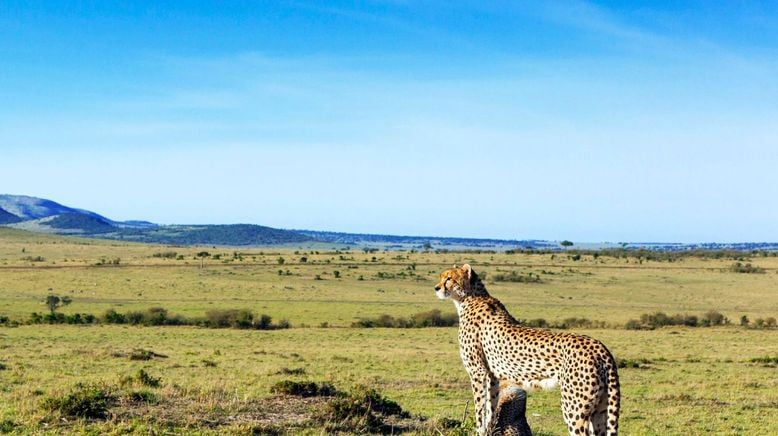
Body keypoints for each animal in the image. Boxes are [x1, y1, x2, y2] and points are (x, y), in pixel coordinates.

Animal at [434, 264, 620, 434]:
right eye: (441, 277)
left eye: (449, 278)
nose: (436, 288)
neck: (469, 298)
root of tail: (599, 347)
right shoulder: (492, 377)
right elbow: (490, 409)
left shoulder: (477, 372)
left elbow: (480, 411)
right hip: (600, 410)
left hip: (574, 407)